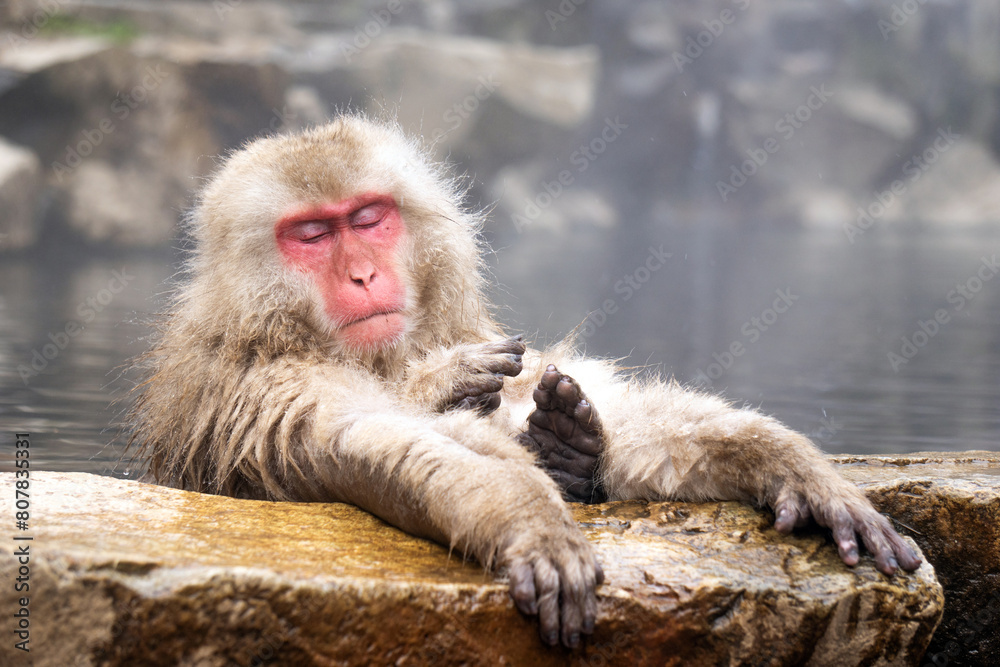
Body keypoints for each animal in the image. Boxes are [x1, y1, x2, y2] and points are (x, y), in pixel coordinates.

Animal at [127, 114, 921, 650]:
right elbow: (377, 439)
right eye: (312, 235)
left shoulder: (484, 338)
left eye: (369, 218)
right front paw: (528, 517)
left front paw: (790, 466)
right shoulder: (264, 385)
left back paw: (569, 446)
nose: (362, 275)